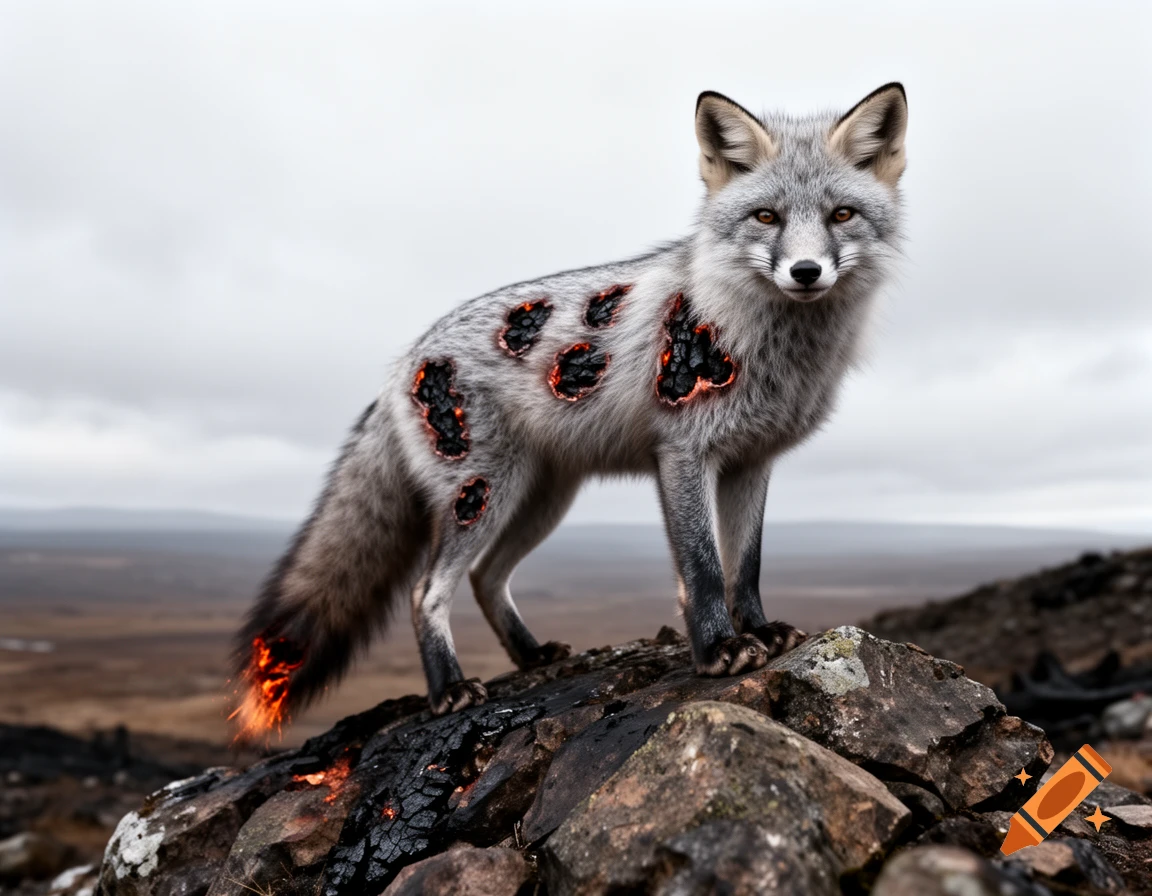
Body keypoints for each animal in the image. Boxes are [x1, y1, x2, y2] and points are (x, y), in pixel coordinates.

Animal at [230, 83, 908, 734]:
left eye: (841, 215)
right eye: (767, 216)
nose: (805, 270)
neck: (764, 343)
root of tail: (403, 360)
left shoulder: (752, 460)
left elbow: (746, 566)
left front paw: (760, 631)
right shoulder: (683, 452)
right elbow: (704, 569)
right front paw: (718, 649)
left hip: (542, 499)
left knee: (485, 577)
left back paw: (531, 656)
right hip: (482, 493)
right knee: (427, 591)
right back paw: (449, 690)